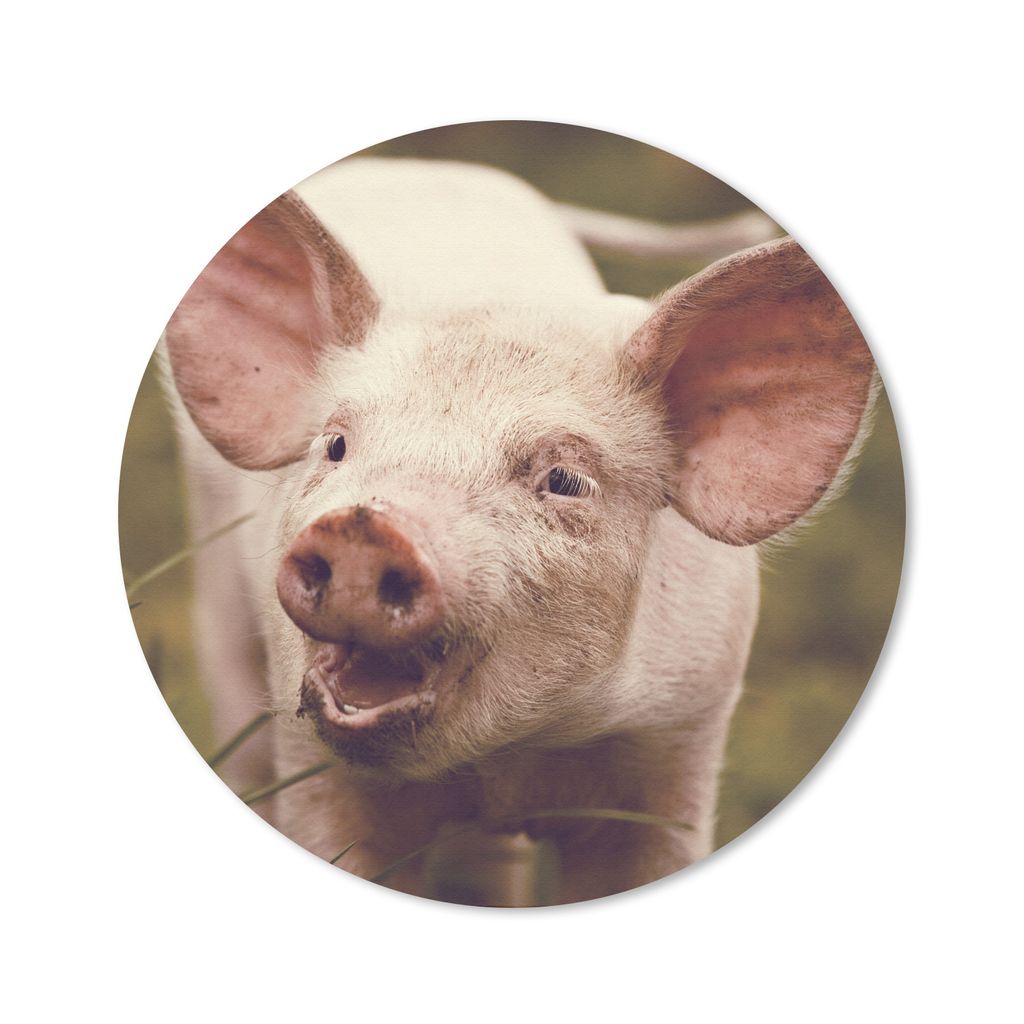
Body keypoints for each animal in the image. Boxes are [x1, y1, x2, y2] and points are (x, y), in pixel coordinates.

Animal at [161, 157, 875, 905]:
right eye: (335, 446)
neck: (508, 761)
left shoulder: (681, 736)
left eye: (563, 479)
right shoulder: (315, 761)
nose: (364, 525)